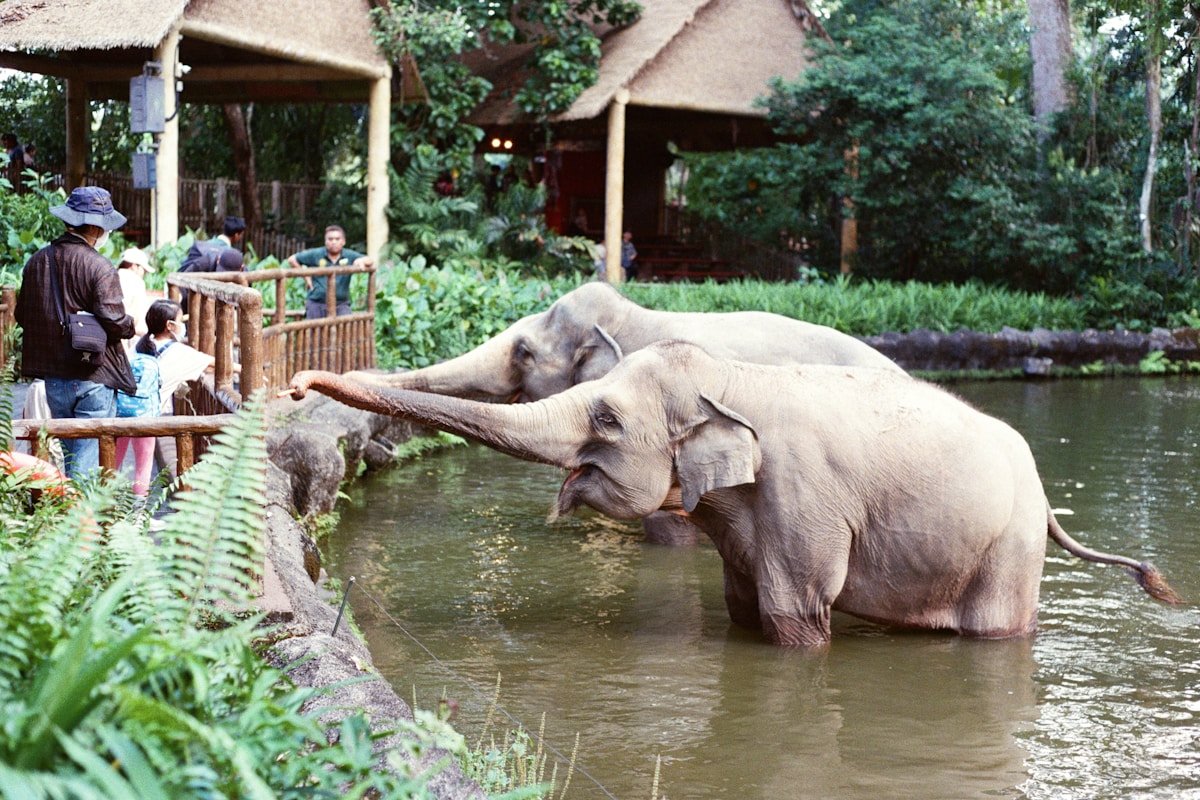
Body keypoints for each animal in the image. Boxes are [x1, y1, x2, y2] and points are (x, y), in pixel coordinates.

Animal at [285, 341, 1183, 647]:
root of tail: (1047, 500)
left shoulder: (805, 497)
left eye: (606, 417)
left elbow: (794, 613)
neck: (733, 375)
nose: (297, 384)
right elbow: (745, 605)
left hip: (1011, 547)